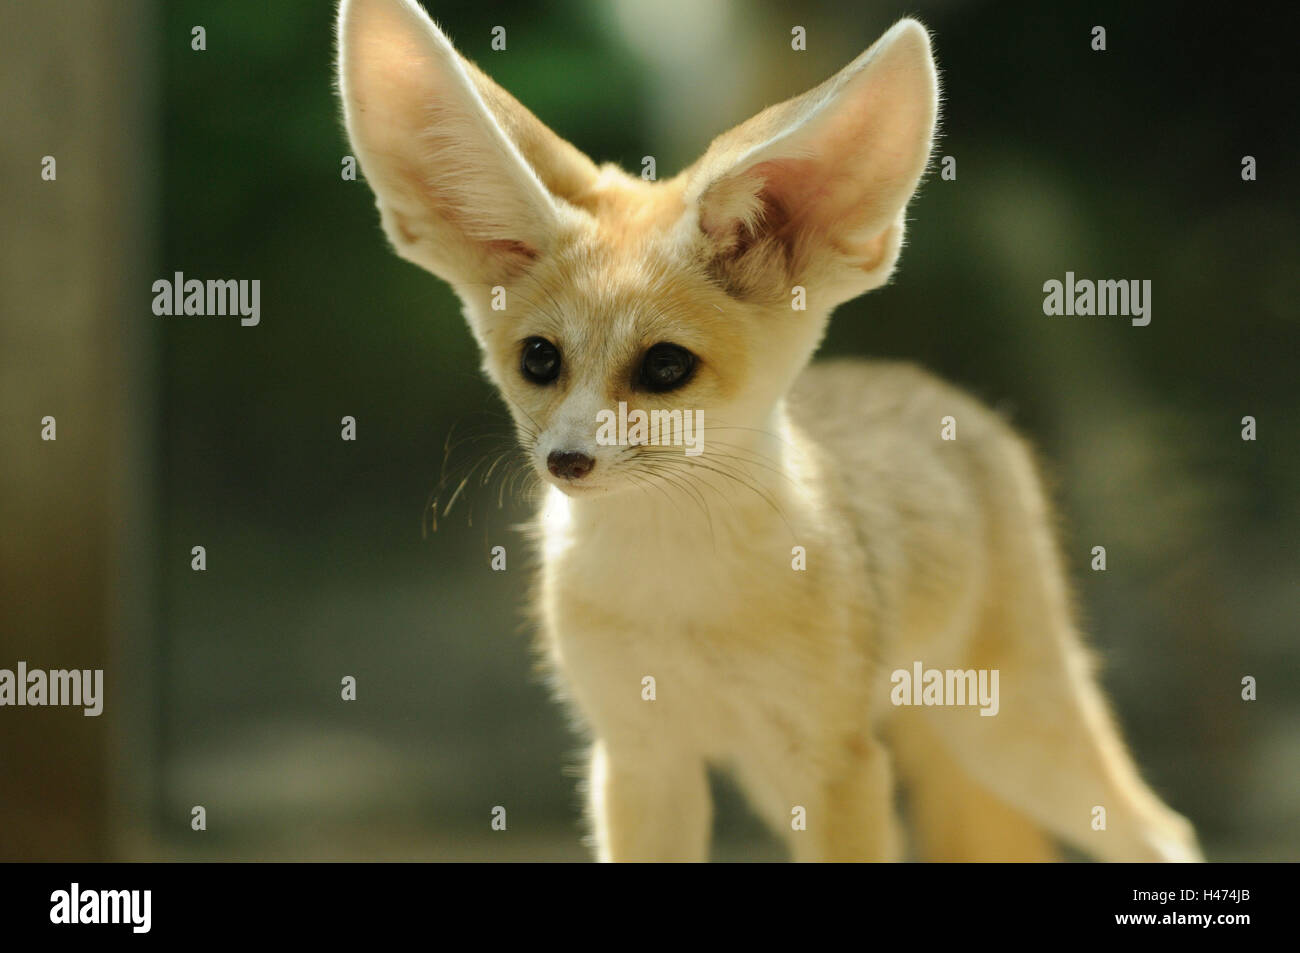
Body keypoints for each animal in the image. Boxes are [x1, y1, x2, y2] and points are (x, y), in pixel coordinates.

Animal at [335, 1, 1196, 863]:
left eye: (666, 366)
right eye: (540, 359)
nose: (566, 461)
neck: (673, 591)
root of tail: (938, 390)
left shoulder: (835, 762)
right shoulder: (640, 757)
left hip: (1008, 734)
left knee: (1166, 828)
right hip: (788, 777)